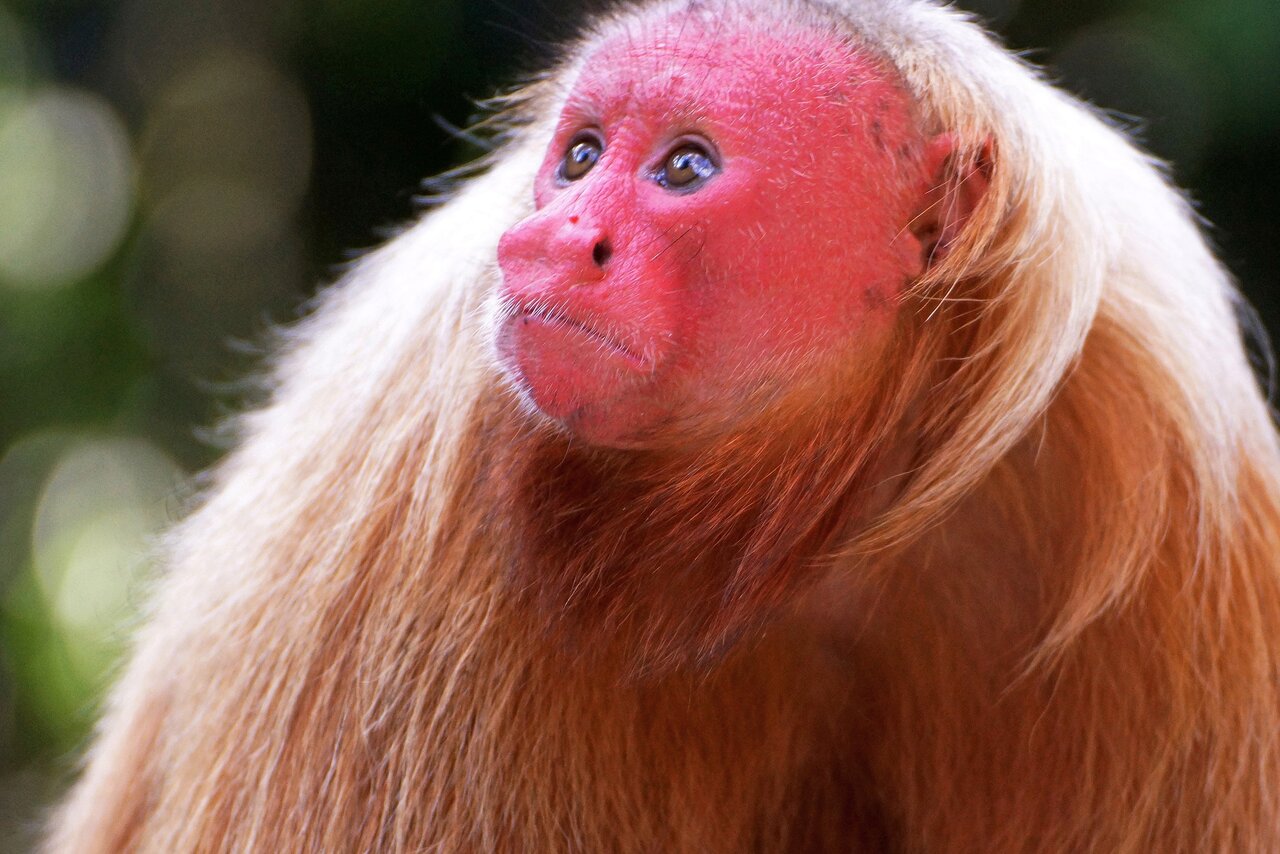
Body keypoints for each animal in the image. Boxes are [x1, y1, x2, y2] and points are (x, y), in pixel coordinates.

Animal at [45, 0, 1280, 851]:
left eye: (684, 166)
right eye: (583, 156)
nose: (553, 238)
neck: (827, 494)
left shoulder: (1184, 541)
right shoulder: (390, 523)